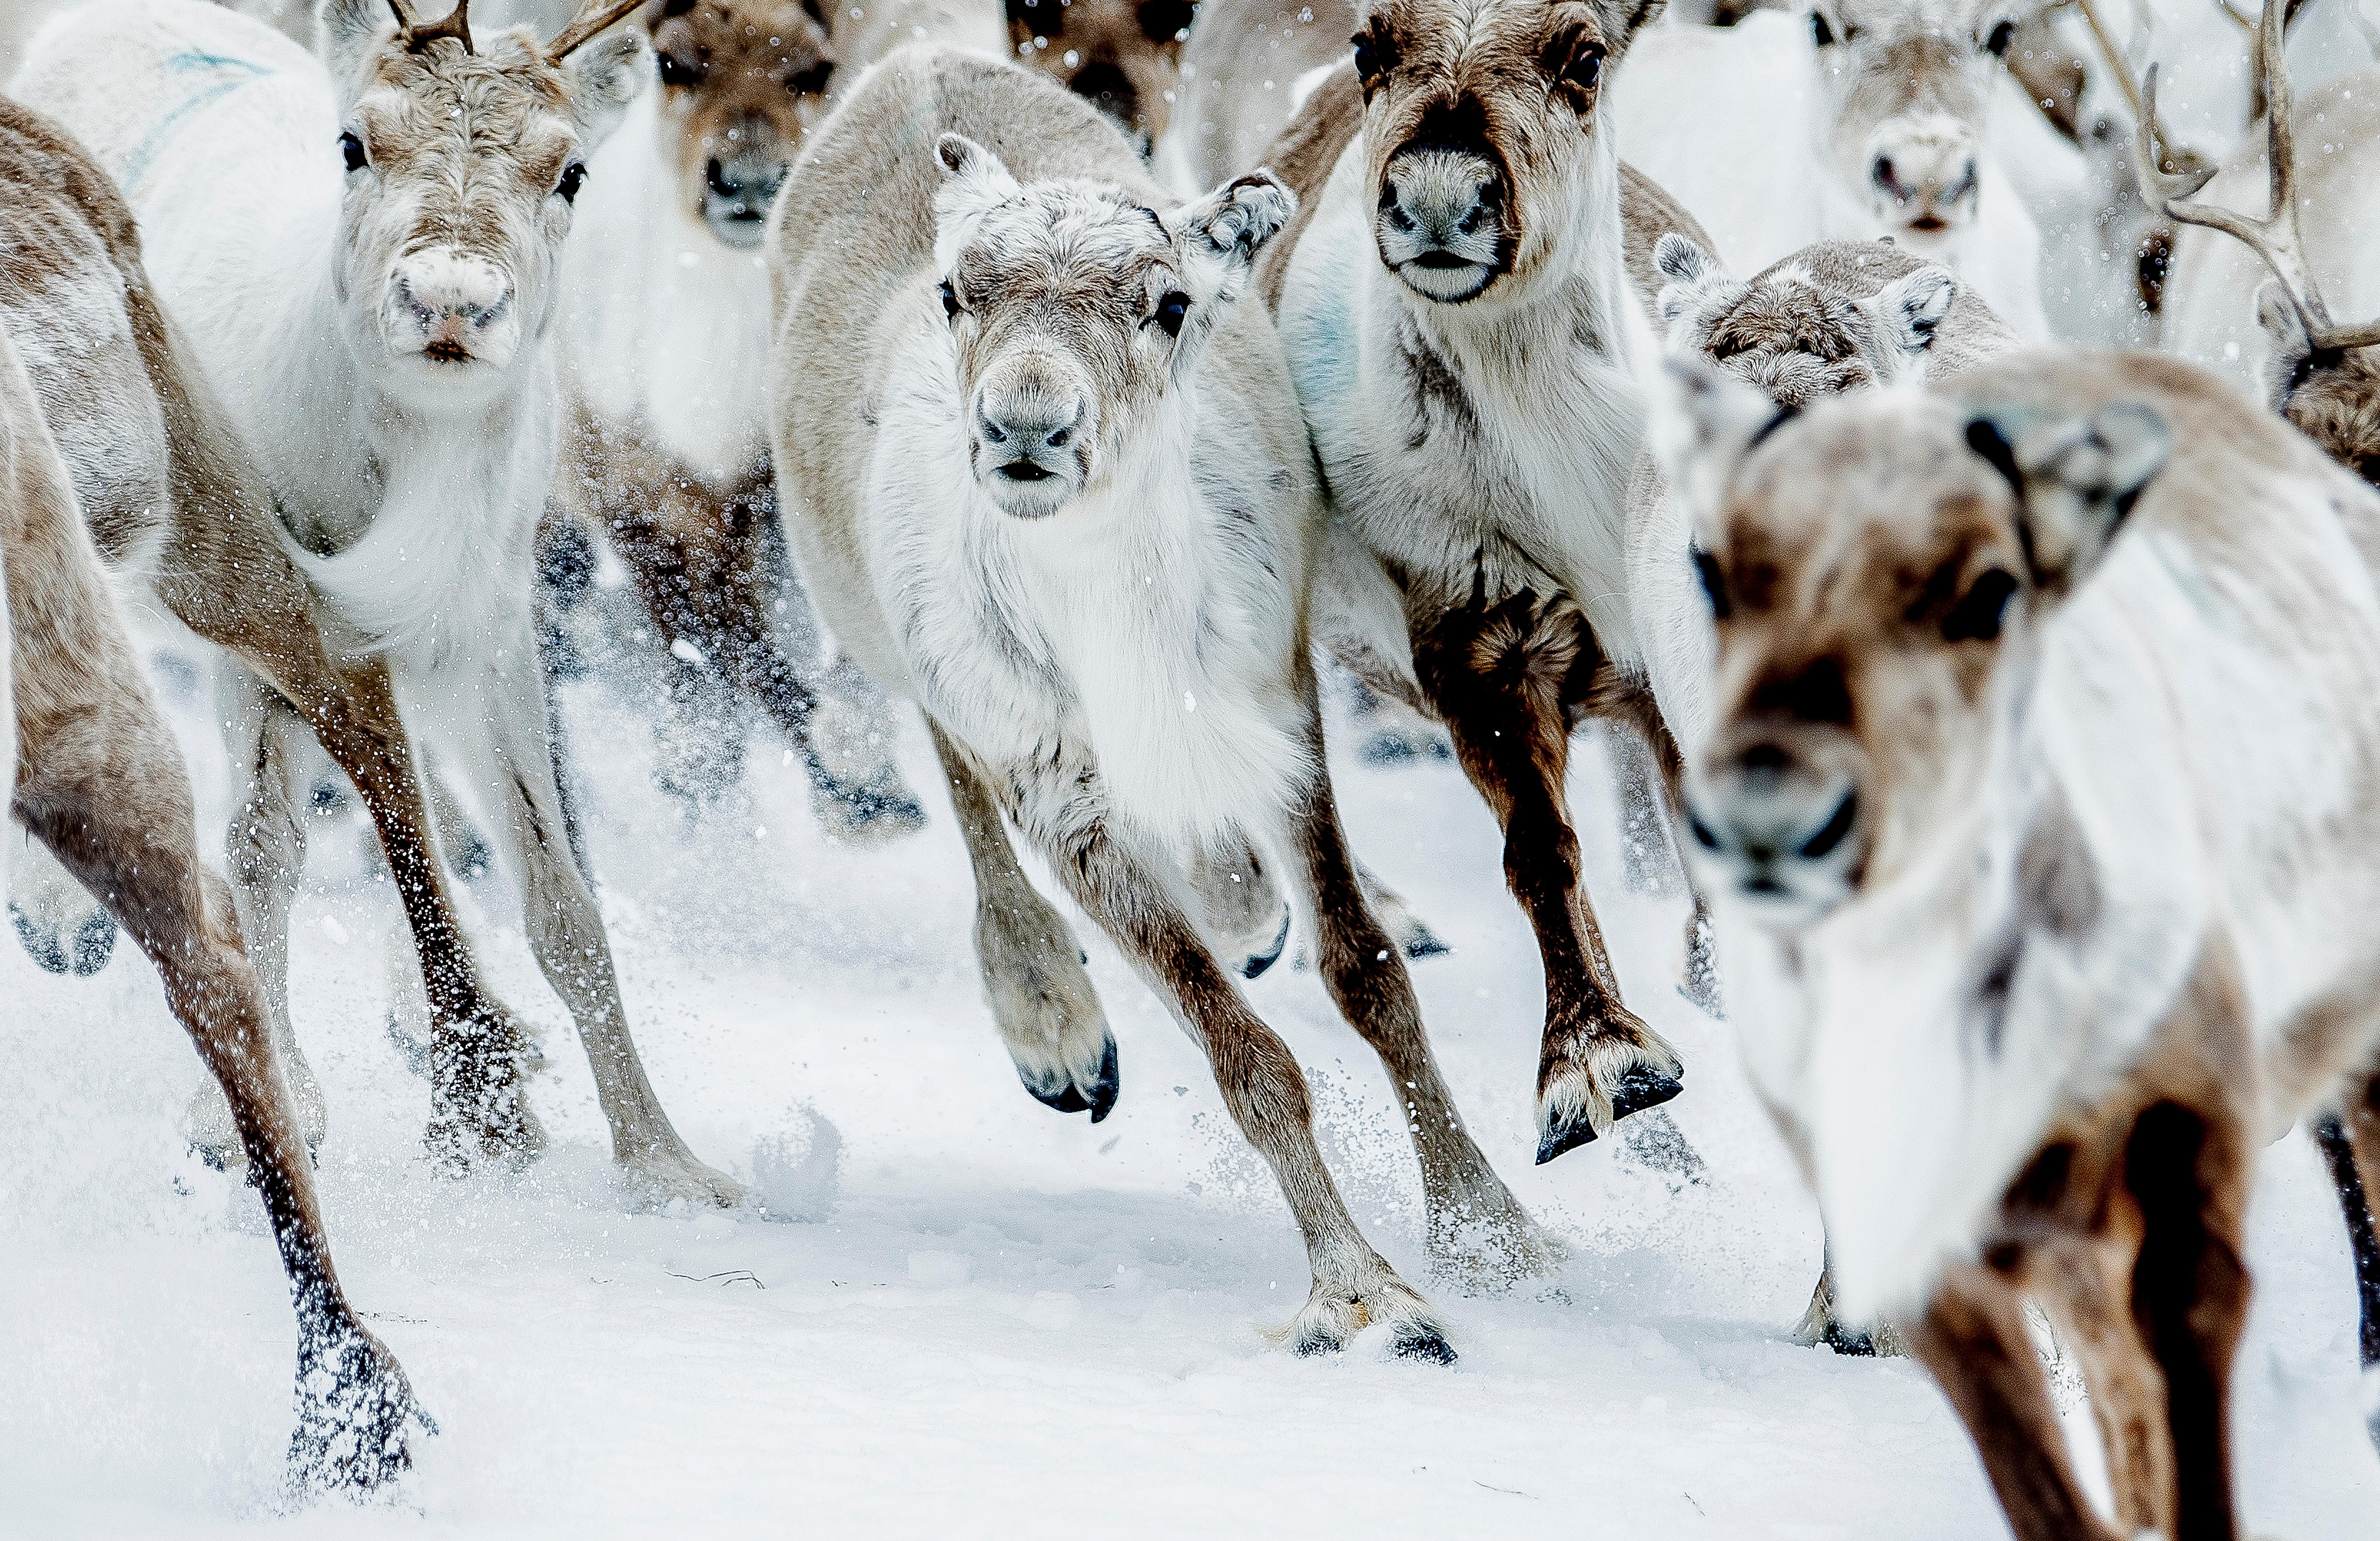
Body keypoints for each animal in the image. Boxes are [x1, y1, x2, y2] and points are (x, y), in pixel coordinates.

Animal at [13, 0, 746, 1206]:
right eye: (356, 144)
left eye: (572, 170)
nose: (450, 300)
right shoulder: (263, 619)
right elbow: (263, 851)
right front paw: (253, 1120)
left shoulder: (487, 636)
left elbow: (558, 895)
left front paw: (665, 1158)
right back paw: (59, 916)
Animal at [767, 44, 1555, 1343]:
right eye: (956, 294)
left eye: (1168, 302)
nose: (1025, 428)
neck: (1121, 619)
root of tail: (912, 63)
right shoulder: (1061, 794)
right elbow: (1245, 1057)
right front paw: (1363, 1294)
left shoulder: (1279, 712)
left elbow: (1371, 980)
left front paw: (1493, 1232)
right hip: (896, 643)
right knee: (963, 799)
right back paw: (1052, 1023)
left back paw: (1246, 911)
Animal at [1256, 0, 1722, 1167]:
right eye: (1371, 43)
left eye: (1585, 53)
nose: (1435, 195)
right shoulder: (1476, 645)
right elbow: (1540, 856)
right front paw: (1598, 1062)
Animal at [1657, 336, 2380, 1534]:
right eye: (1712, 569)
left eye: (1989, 590)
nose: (1772, 815)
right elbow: (2038, 1471)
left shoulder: (2186, 1112)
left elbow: (2187, 1346)